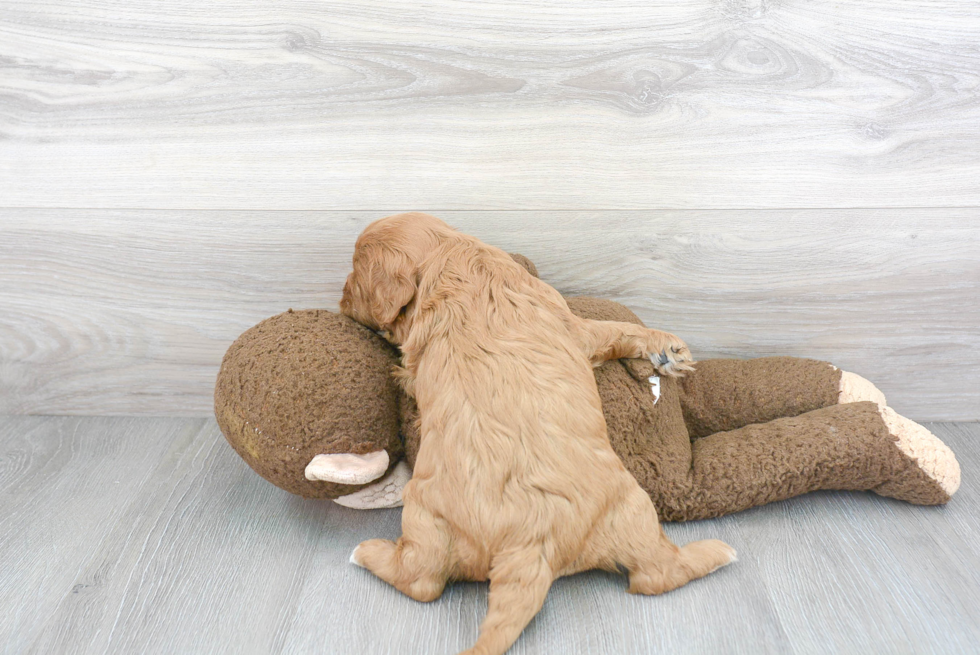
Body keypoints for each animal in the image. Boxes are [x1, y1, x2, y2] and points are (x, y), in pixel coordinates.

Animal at [340, 213, 732, 652]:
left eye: (355, 271)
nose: (340, 298)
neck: (449, 254)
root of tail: (526, 544)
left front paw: (667, 351)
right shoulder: (569, 323)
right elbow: (614, 329)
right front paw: (666, 346)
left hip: (434, 518)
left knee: (423, 583)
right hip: (630, 509)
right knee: (657, 575)